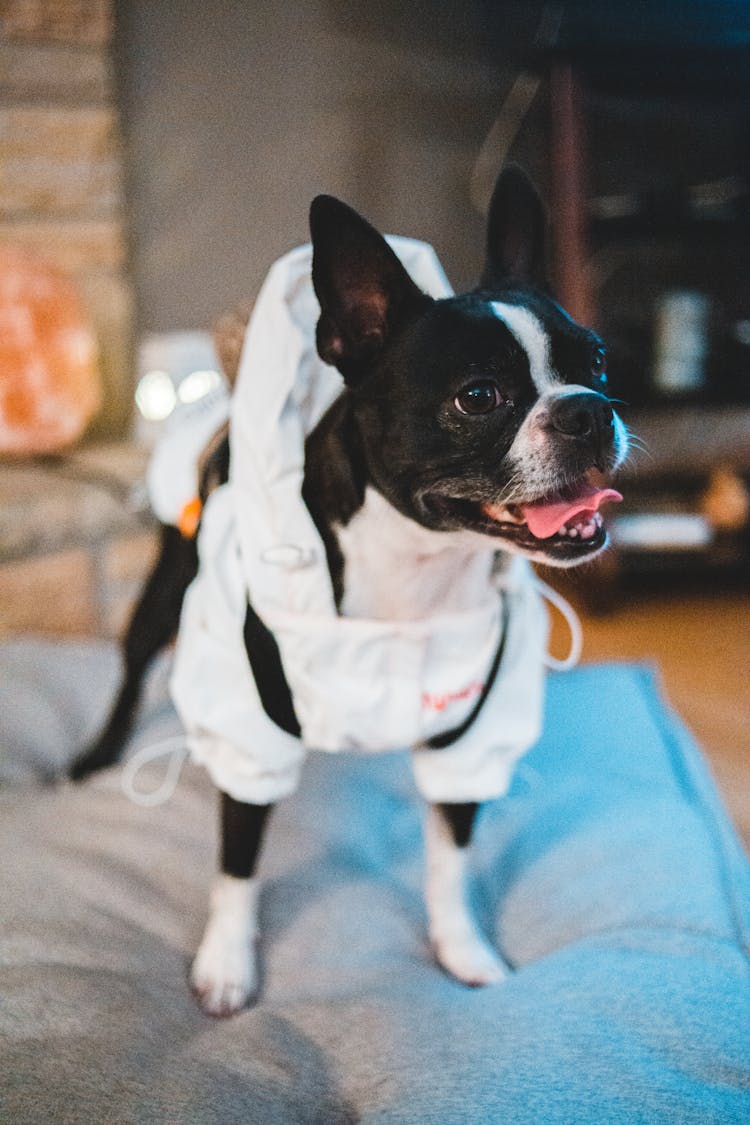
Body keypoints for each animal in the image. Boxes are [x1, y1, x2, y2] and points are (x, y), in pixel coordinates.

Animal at [74, 168, 629, 1021]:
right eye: (478, 396)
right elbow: (237, 863)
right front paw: (227, 964)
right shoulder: (252, 731)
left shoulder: (469, 741)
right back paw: (97, 755)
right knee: (133, 667)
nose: (589, 410)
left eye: (597, 362)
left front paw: (463, 949)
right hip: (165, 589)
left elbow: (449, 859)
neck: (419, 565)